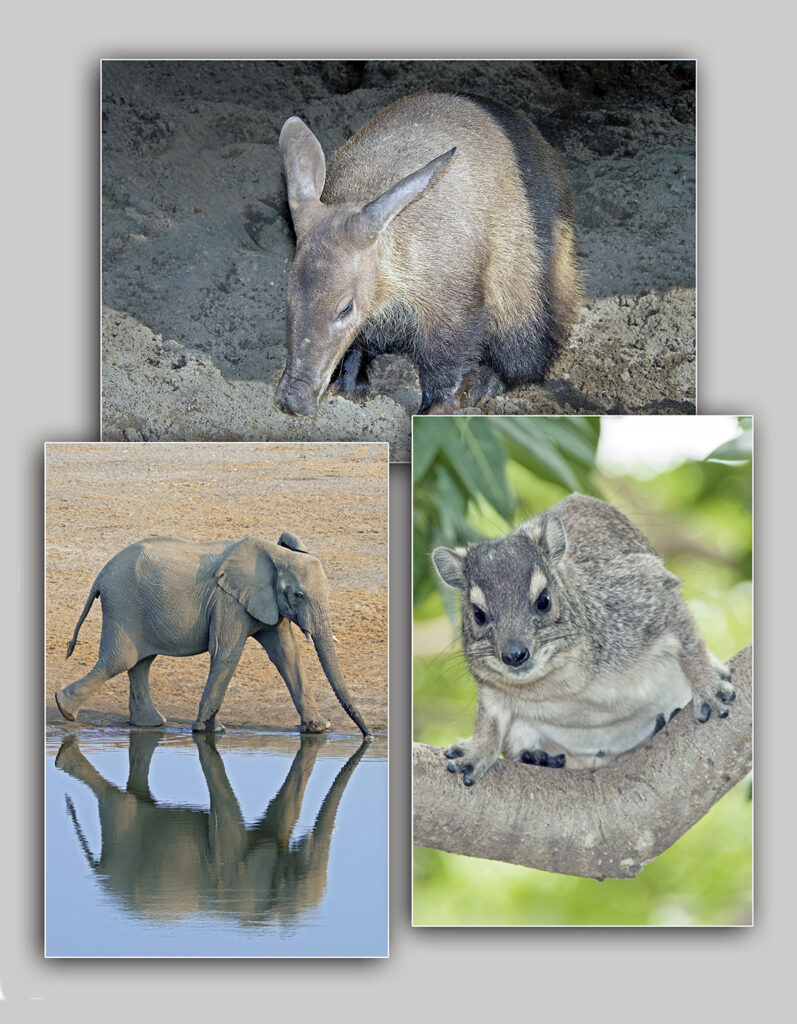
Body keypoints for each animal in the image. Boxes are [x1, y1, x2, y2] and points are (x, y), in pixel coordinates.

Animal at [55, 536, 372, 737]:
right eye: (298, 595)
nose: (368, 736)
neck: (274, 554)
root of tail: (101, 574)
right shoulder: (228, 603)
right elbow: (226, 653)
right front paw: (210, 731)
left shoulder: (267, 603)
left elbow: (287, 655)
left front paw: (319, 729)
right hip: (124, 606)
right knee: (120, 661)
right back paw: (64, 709)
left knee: (140, 664)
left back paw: (151, 724)